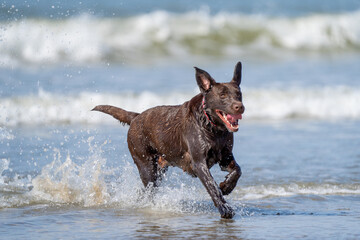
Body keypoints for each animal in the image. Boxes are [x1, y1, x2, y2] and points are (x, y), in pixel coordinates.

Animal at [93, 62, 245, 219]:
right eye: (222, 95)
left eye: (239, 94)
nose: (239, 106)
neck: (211, 126)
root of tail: (135, 117)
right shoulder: (199, 163)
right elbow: (212, 185)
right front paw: (224, 208)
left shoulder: (225, 157)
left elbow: (237, 170)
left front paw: (227, 186)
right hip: (146, 166)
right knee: (148, 190)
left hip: (159, 169)